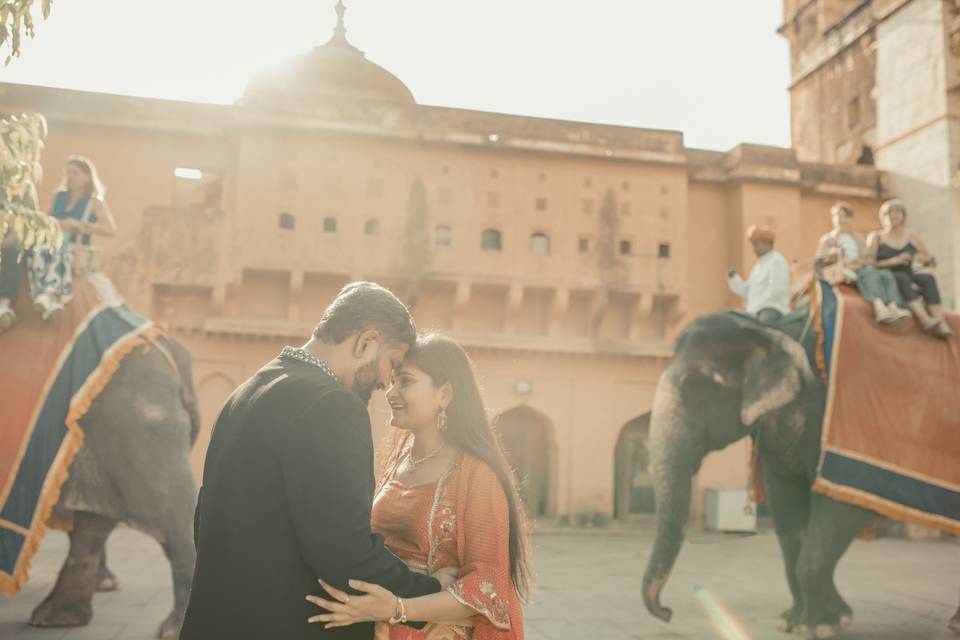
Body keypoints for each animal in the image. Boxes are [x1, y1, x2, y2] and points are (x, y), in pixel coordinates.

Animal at [636, 310, 960, 636]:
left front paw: (823, 626)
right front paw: (794, 622)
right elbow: (787, 511)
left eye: (695, 387)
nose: (667, 612)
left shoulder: (847, 436)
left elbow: (841, 507)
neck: (766, 329)